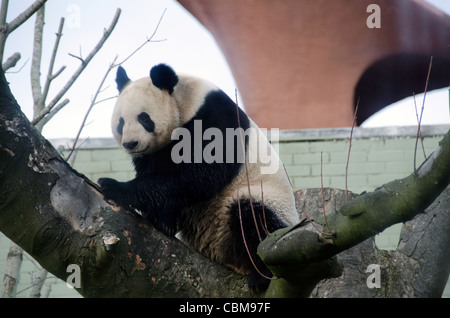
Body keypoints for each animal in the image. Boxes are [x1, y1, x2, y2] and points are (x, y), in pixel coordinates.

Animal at [100, 64, 300, 290]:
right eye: (121, 122)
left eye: (144, 118)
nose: (130, 144)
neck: (186, 103)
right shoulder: (155, 153)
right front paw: (162, 220)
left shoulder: (216, 119)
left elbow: (201, 176)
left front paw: (114, 186)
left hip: (269, 203)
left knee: (254, 219)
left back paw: (262, 274)